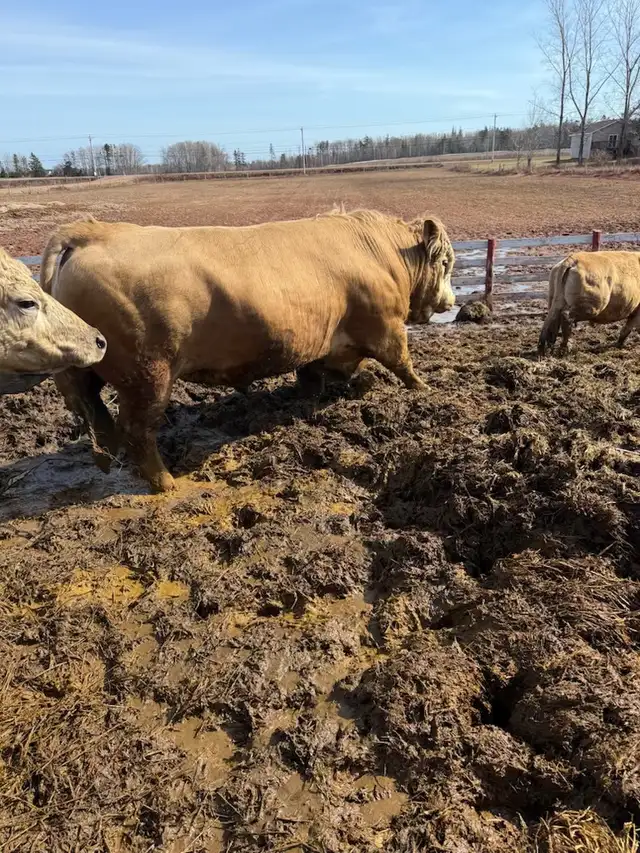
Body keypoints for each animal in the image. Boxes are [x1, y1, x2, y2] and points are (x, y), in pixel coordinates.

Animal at [40, 209, 455, 493]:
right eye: (446, 263)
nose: (450, 301)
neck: (380, 253)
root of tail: (94, 231)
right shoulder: (385, 325)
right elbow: (402, 363)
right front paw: (427, 392)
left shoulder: (322, 342)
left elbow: (315, 375)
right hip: (149, 374)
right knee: (138, 429)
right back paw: (165, 482)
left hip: (89, 369)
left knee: (97, 412)